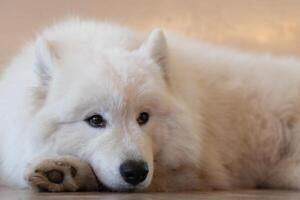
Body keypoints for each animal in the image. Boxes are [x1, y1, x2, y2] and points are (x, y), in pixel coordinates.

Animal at [0, 18, 300, 192]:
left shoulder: (195, 169)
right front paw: (61, 171)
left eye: (143, 117)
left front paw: (69, 172)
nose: (135, 172)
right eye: (95, 120)